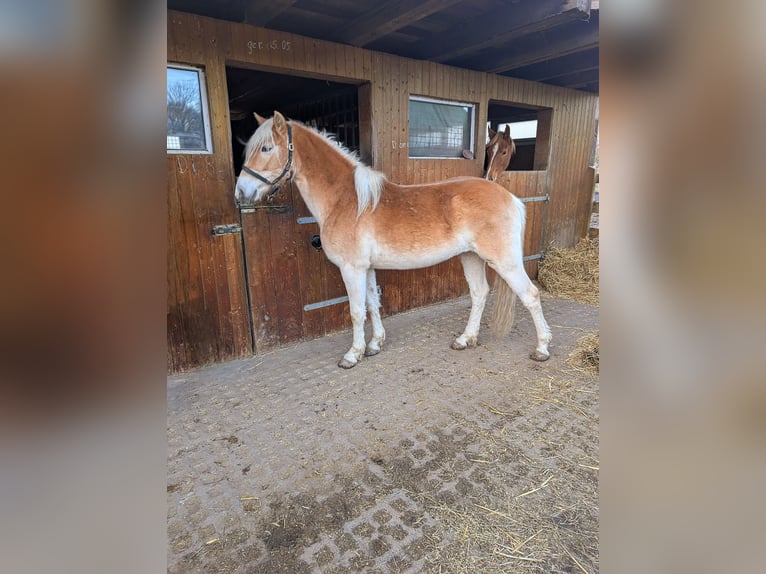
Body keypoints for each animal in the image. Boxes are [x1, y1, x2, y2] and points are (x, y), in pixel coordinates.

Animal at [236, 112, 552, 372]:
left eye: (266, 148)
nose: (241, 192)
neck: (346, 200)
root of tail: (510, 198)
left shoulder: (351, 269)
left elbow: (356, 312)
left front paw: (353, 355)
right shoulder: (366, 268)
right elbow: (373, 304)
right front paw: (375, 344)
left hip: (504, 261)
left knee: (530, 295)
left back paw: (542, 348)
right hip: (471, 257)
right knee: (479, 293)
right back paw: (465, 339)